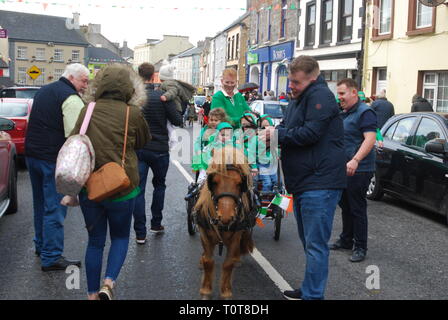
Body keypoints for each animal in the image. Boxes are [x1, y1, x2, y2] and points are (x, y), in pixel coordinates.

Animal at [193, 146, 256, 298]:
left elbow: (228, 264)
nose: (226, 216)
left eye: (240, 183)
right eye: (214, 182)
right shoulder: (204, 235)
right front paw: (206, 291)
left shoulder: (236, 236)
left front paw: (226, 292)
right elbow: (208, 261)